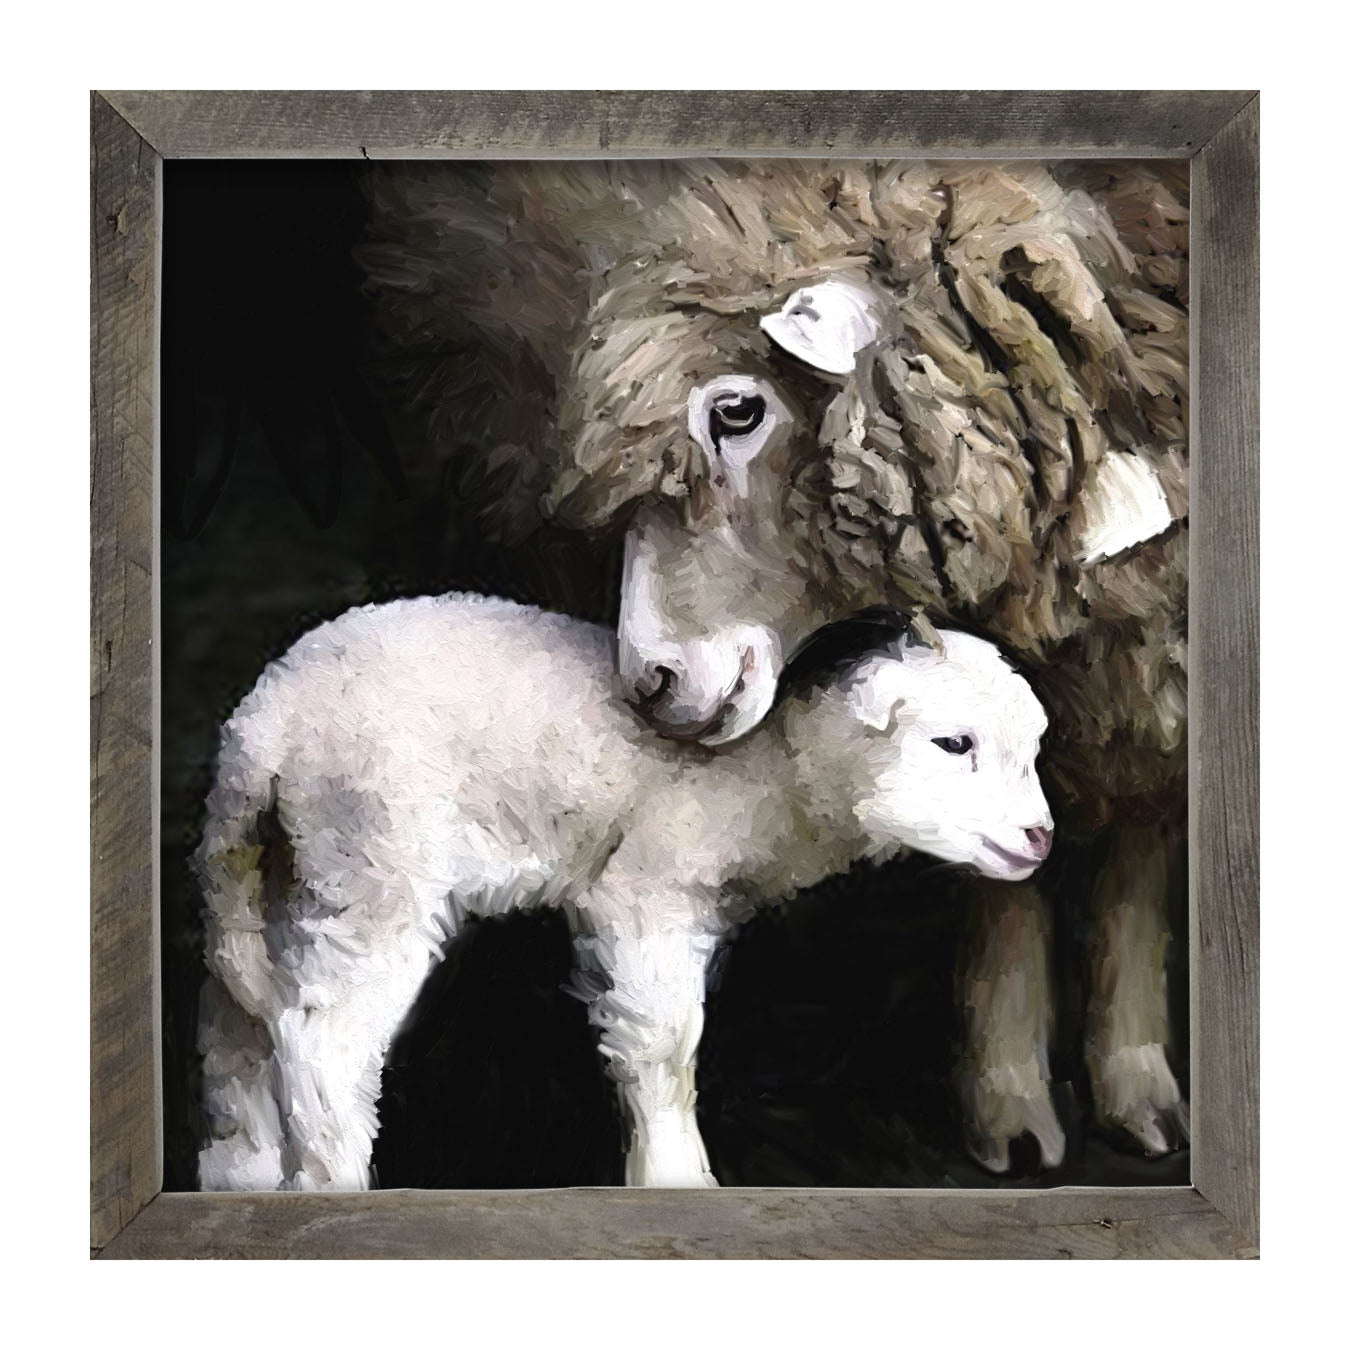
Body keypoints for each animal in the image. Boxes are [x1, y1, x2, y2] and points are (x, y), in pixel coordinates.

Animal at [195, 593, 1052, 1191]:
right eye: (953, 743)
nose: (1040, 839)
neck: (777, 773)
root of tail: (262, 726)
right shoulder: (647, 889)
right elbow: (664, 1045)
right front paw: (676, 1178)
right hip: (378, 861)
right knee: (322, 1038)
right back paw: (336, 1182)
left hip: (292, 868)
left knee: (243, 1023)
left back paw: (246, 1174)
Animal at [359, 159, 1190, 1167]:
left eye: (738, 409)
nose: (648, 685)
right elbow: (1002, 878)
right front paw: (1010, 1101)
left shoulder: (1150, 646)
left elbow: (1135, 850)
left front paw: (1137, 1078)